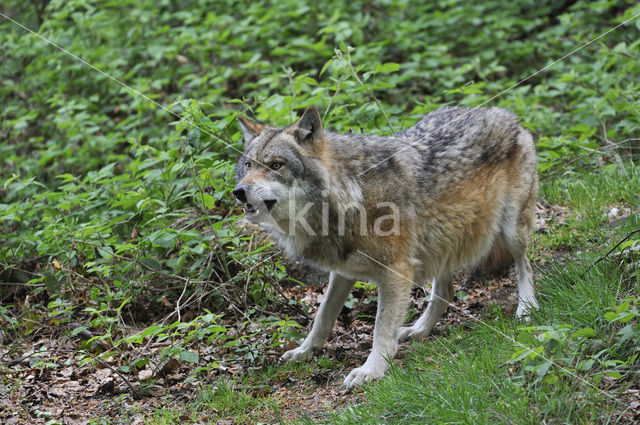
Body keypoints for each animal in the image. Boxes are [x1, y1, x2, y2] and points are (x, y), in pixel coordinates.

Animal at [232, 105, 536, 384]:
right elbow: (322, 316)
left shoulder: (395, 270)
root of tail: (505, 113)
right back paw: (418, 330)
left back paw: (527, 310)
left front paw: (371, 370)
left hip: (511, 231)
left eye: (275, 165)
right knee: (446, 292)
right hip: (443, 243)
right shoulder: (341, 272)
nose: (239, 192)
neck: (348, 193)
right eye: (248, 166)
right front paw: (304, 351)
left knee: (525, 267)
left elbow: (380, 327)